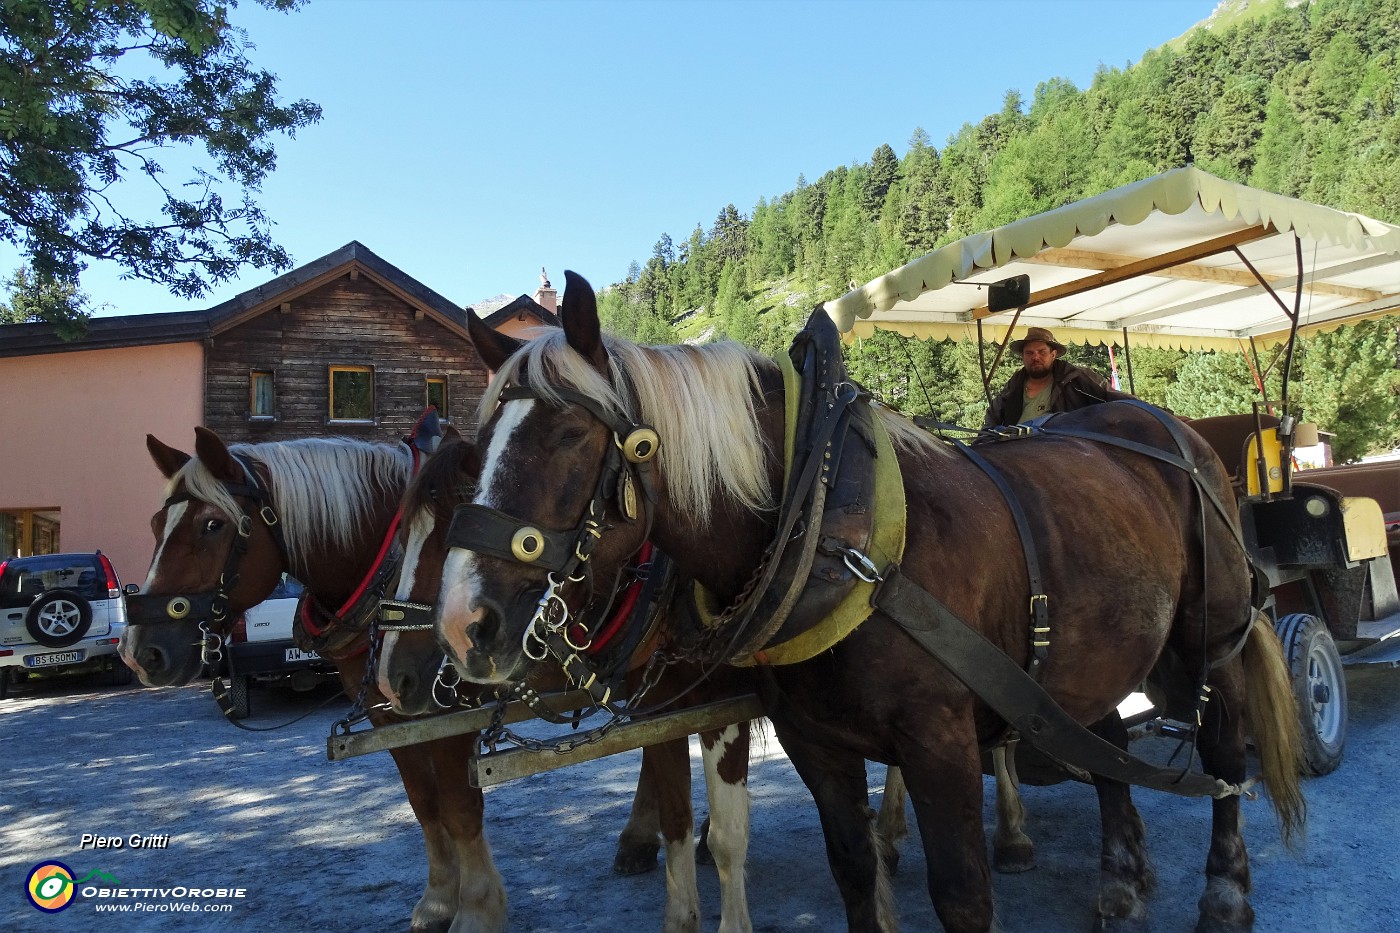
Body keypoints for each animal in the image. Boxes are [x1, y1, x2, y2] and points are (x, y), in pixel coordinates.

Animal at [117, 428, 722, 930]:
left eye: (211, 526)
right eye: (154, 527)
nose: (140, 651)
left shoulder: (452, 711)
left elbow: (459, 807)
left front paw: (477, 911)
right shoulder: (391, 714)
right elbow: (424, 805)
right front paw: (437, 901)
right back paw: (643, 838)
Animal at [431, 273, 1304, 930]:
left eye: (569, 436)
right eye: (476, 446)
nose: (463, 624)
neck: (819, 514)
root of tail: (1170, 428)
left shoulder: (940, 743)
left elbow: (963, 895)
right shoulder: (815, 742)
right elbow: (853, 871)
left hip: (1212, 636)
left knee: (1224, 757)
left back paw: (1225, 892)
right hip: (1097, 651)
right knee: (1108, 744)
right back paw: (1120, 877)